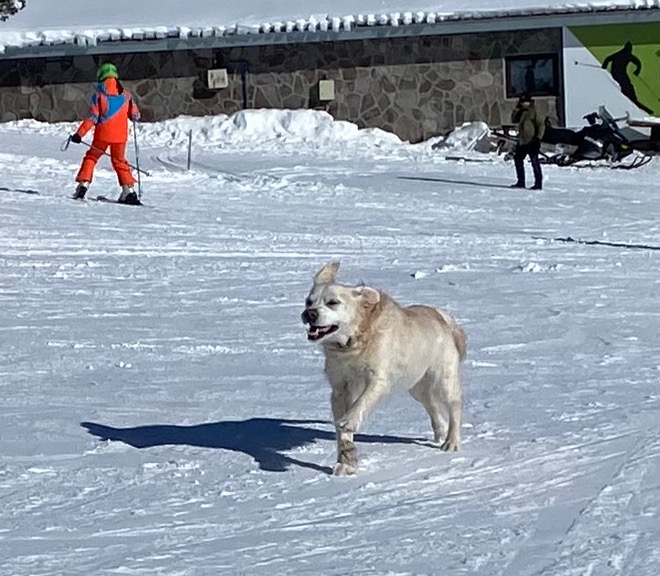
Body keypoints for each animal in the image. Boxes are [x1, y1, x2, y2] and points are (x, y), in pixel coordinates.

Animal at [302, 258, 466, 474]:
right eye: (308, 302)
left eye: (333, 303)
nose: (309, 314)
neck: (353, 345)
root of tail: (441, 316)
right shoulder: (339, 388)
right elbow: (342, 430)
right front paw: (346, 462)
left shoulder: (379, 378)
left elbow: (362, 402)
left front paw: (349, 421)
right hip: (416, 385)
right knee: (432, 406)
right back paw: (440, 431)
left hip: (443, 378)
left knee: (454, 406)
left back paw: (451, 442)